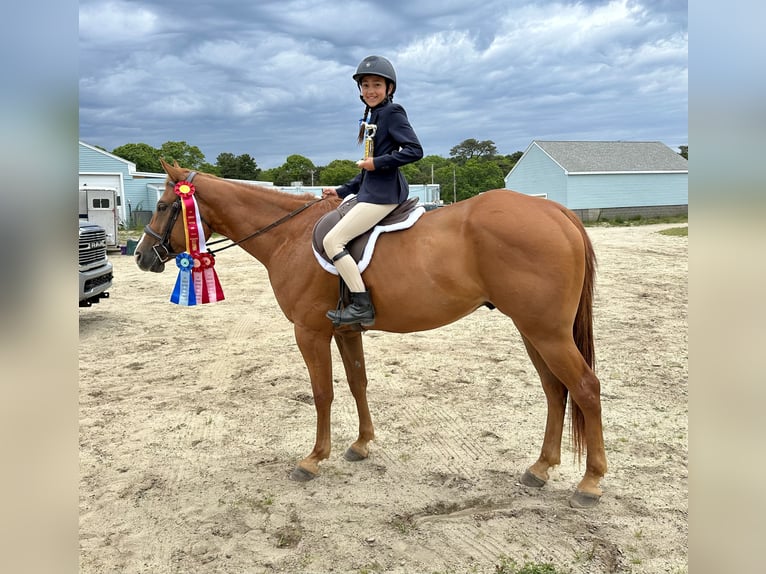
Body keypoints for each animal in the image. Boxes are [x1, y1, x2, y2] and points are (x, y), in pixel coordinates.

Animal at [135, 158, 608, 508]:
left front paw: (313, 459)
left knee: (584, 387)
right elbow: (358, 382)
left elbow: (322, 392)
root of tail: (555, 211)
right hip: (533, 331)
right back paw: (540, 469)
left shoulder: (309, 332)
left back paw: (589, 483)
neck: (289, 235)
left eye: (163, 206)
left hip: (546, 332)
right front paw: (361, 445)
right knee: (555, 390)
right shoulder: (346, 331)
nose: (141, 256)